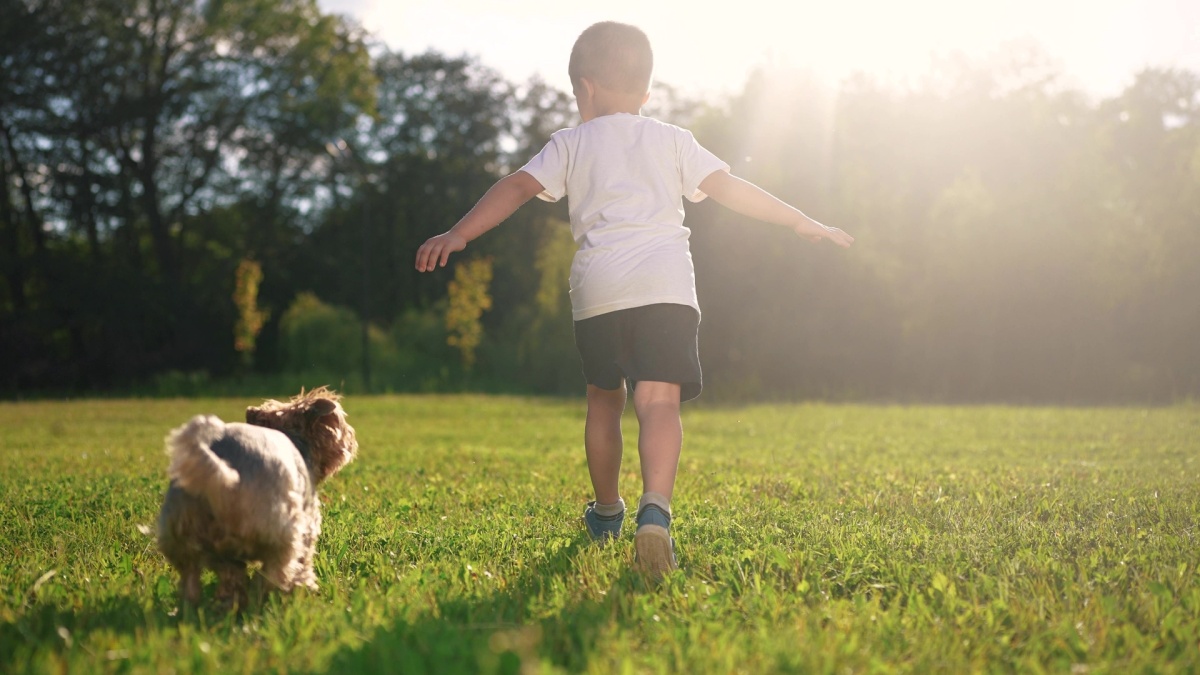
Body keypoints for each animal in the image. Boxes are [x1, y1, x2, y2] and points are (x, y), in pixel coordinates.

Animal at [153, 384, 355, 605]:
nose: (351, 438)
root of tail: (222, 478)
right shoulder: (308, 524)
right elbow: (304, 559)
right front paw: (306, 584)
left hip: (184, 535)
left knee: (205, 579)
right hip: (281, 533)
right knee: (274, 573)